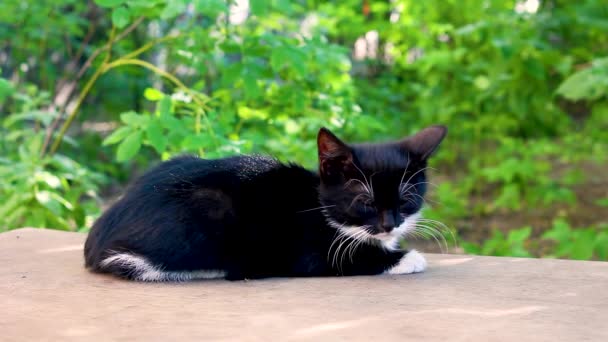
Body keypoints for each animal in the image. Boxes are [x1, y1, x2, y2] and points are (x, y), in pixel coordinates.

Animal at [83, 125, 446, 280]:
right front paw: (408, 257)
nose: (389, 225)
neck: (319, 206)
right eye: (365, 201)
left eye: (406, 200)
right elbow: (351, 258)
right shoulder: (309, 248)